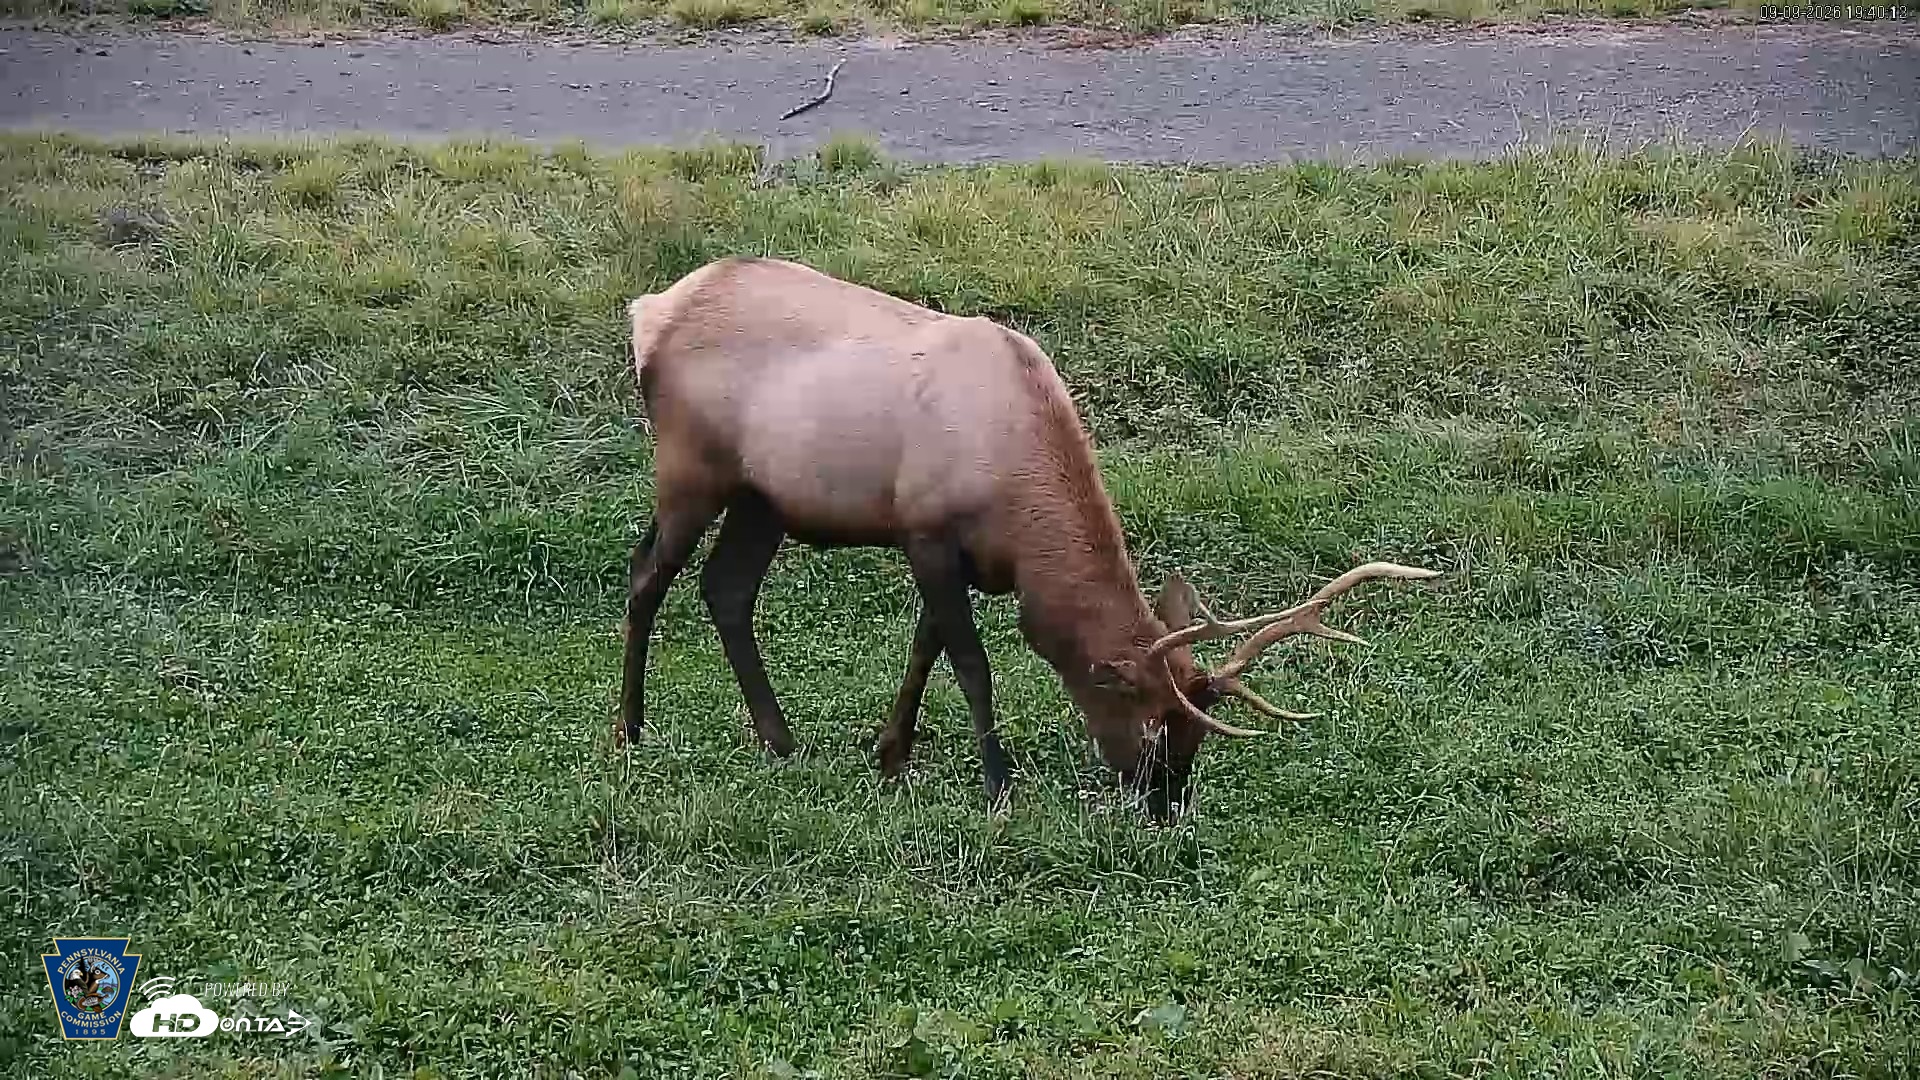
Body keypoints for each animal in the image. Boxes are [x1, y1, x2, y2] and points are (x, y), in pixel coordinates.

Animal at [618, 256, 1440, 820]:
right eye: (1154, 731)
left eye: (1195, 737)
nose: (1166, 809)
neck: (1017, 513)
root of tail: (650, 312)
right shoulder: (924, 529)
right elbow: (972, 663)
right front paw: (996, 784)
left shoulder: (966, 559)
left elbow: (926, 648)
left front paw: (890, 755)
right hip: (690, 467)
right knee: (646, 573)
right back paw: (629, 731)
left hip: (764, 497)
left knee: (726, 589)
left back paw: (778, 738)